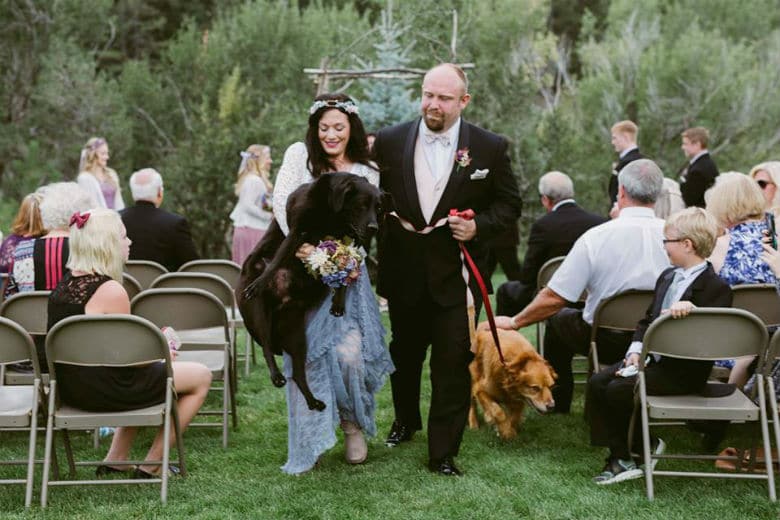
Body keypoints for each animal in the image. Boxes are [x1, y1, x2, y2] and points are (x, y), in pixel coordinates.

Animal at [238, 173, 384, 412]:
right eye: (362, 205)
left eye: (378, 208)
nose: (374, 228)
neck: (332, 212)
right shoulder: (297, 231)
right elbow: (277, 260)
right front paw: (260, 282)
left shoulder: (348, 241)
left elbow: (343, 274)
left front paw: (338, 304)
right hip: (258, 313)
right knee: (266, 346)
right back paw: (276, 376)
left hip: (297, 335)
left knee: (298, 374)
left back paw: (313, 401)